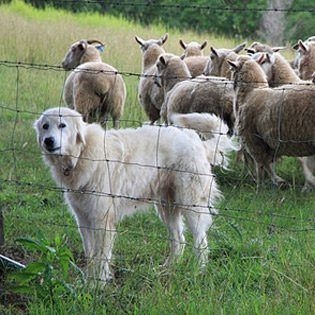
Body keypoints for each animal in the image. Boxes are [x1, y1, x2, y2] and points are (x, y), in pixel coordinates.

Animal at [34, 107, 232, 286]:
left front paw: (97, 286)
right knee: (179, 240)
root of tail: (198, 142)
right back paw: (167, 270)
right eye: (45, 126)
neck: (82, 154)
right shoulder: (83, 219)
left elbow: (101, 257)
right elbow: (90, 254)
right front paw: (87, 283)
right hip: (166, 207)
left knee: (201, 242)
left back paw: (198, 272)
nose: (48, 141)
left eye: (62, 125)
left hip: (190, 205)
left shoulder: (102, 220)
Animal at [228, 55, 315, 188]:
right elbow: (268, 164)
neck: (250, 93)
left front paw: (260, 187)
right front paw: (279, 182)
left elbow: (261, 165)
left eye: (232, 69)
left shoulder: (253, 140)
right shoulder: (269, 143)